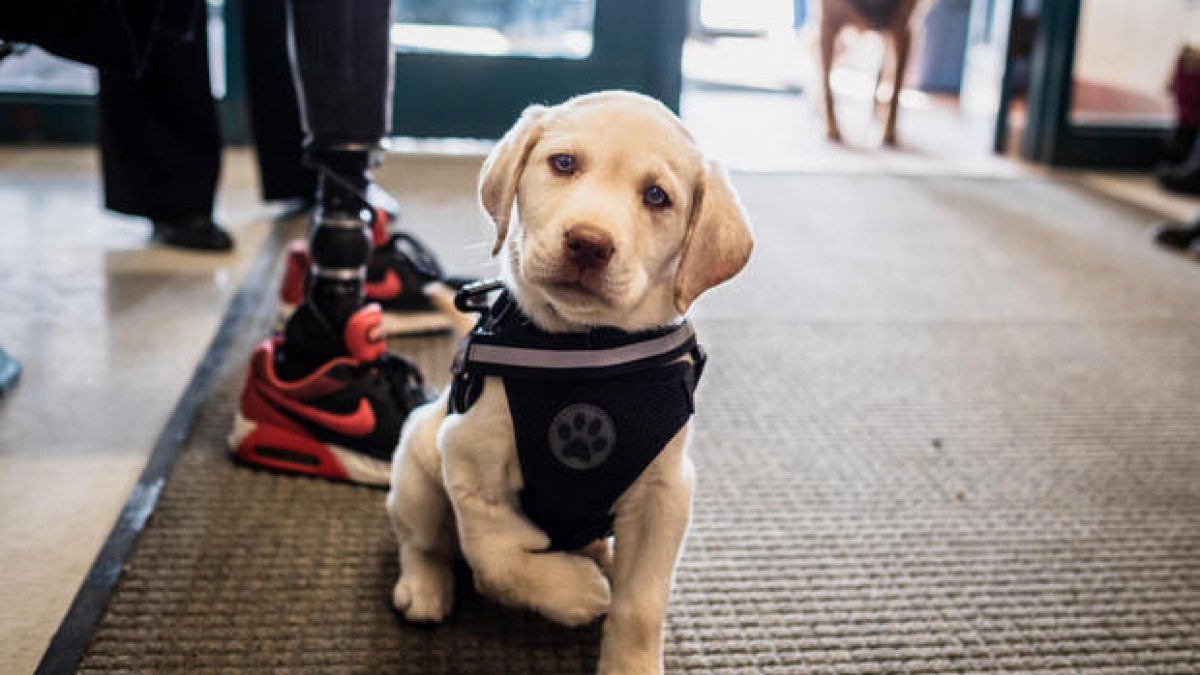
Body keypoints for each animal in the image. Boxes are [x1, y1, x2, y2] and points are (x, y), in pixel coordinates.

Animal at [388, 90, 753, 672]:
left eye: (657, 196)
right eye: (563, 164)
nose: (589, 242)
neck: (585, 350)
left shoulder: (666, 492)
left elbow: (641, 604)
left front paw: (629, 662)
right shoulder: (467, 460)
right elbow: (494, 557)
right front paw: (573, 592)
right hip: (417, 463)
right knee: (423, 540)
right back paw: (425, 587)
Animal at [820, 0, 921, 144]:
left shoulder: (904, 32)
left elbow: (896, 92)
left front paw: (889, 132)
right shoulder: (827, 26)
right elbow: (827, 89)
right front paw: (832, 128)